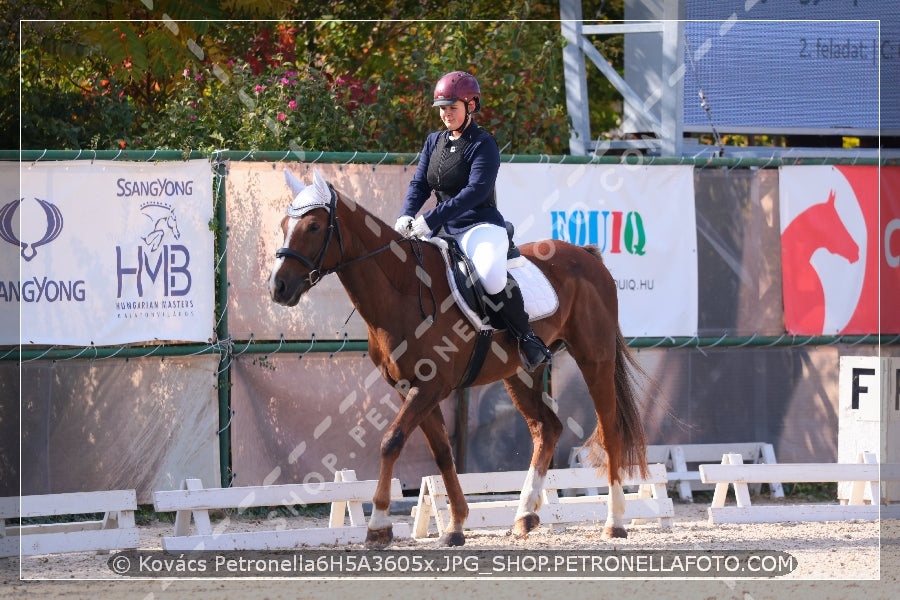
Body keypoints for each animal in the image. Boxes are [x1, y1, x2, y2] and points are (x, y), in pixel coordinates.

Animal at [268, 166, 648, 548]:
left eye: (313, 227)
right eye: (284, 225)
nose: (277, 288)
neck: (405, 289)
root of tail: (585, 256)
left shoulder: (430, 386)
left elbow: (391, 441)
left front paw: (378, 525)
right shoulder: (409, 388)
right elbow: (441, 451)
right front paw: (456, 524)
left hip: (594, 357)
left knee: (609, 430)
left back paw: (614, 521)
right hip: (520, 372)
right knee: (547, 428)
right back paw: (525, 515)